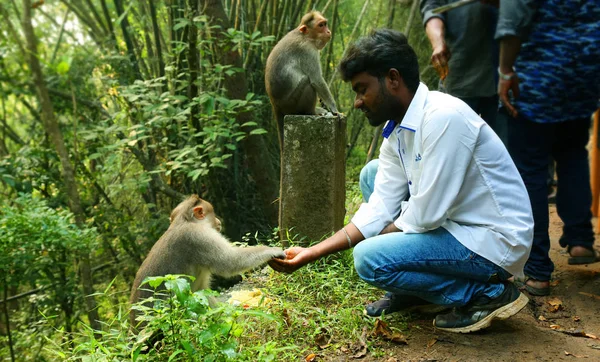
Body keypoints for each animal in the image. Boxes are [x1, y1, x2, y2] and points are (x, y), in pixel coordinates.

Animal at [128, 194, 286, 332]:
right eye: (212, 213)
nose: (219, 221)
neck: (184, 220)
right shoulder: (199, 237)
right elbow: (230, 261)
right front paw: (271, 250)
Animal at [266, 10, 338, 150]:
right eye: (321, 25)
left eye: (325, 24)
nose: (328, 31)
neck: (306, 37)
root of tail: (275, 104)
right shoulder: (308, 51)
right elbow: (316, 80)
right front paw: (334, 109)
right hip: (291, 104)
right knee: (307, 82)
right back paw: (312, 112)